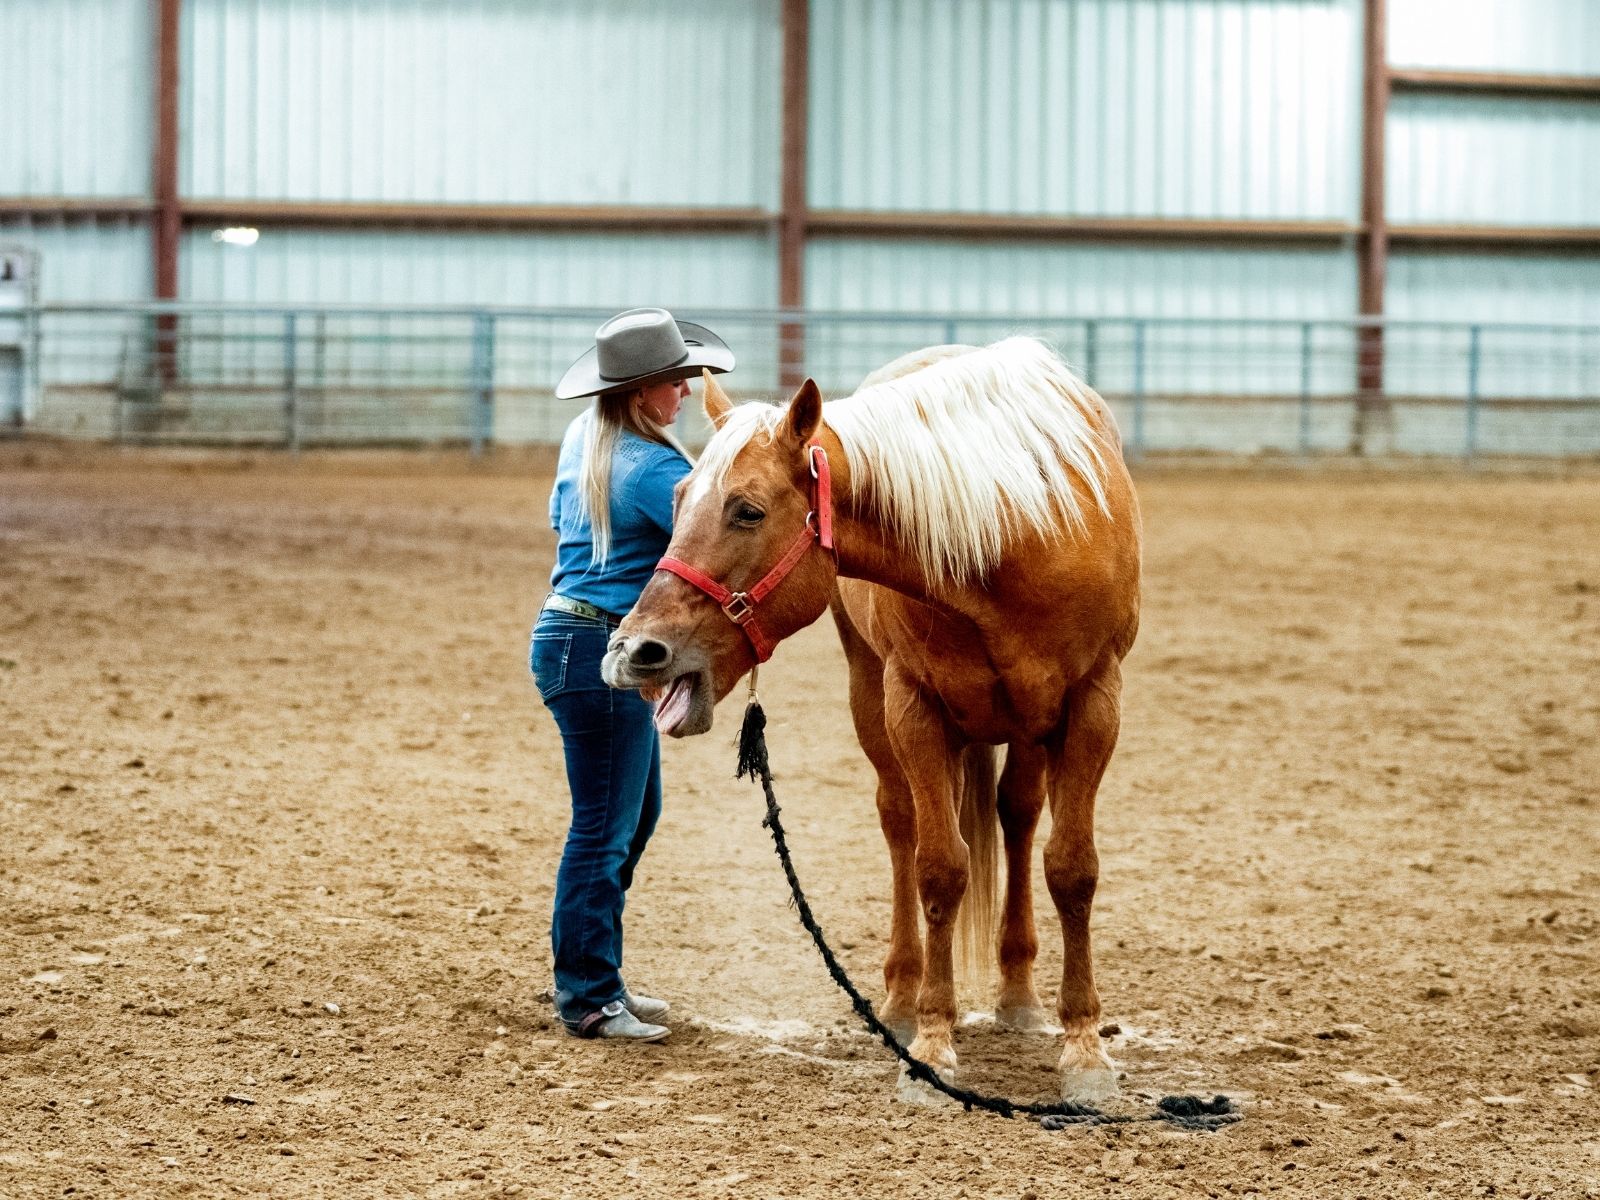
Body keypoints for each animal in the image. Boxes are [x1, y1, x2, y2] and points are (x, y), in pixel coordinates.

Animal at [601, 337, 1141, 1103]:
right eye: (677, 499)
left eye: (747, 511)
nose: (636, 651)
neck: (1014, 534)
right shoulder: (913, 705)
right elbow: (939, 868)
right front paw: (935, 1042)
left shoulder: (1093, 703)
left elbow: (1072, 869)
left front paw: (1086, 1048)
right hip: (875, 697)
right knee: (902, 823)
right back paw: (901, 997)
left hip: (1029, 724)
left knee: (1017, 814)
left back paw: (1018, 994)